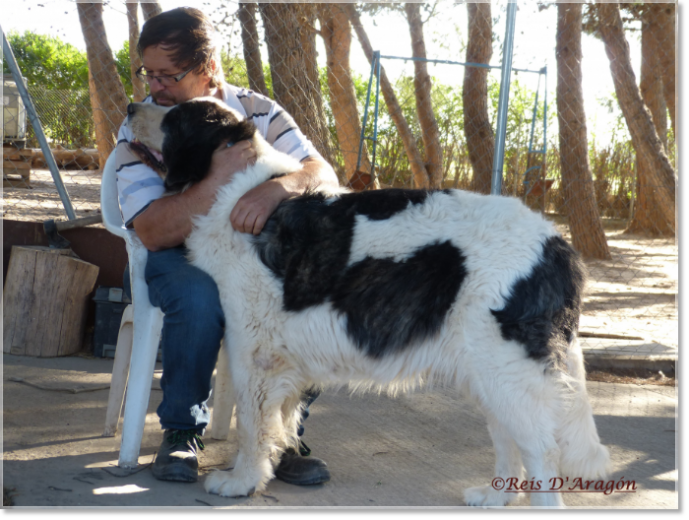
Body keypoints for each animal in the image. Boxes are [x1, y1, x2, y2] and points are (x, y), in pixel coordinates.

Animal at [127, 96, 608, 504]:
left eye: (172, 117)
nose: (132, 106)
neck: (230, 188)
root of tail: (557, 244)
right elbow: (280, 417)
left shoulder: (255, 355)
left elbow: (251, 422)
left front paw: (242, 480)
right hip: (488, 371)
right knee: (509, 436)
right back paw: (495, 496)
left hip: (506, 369)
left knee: (541, 449)